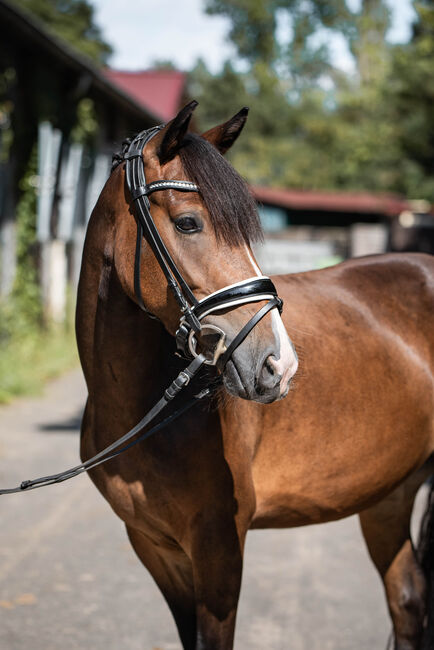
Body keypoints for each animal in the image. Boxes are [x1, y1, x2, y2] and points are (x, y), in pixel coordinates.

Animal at [76, 101, 434, 648]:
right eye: (187, 223)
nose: (278, 365)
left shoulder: (219, 550)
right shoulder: (154, 548)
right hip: (388, 495)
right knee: (408, 599)